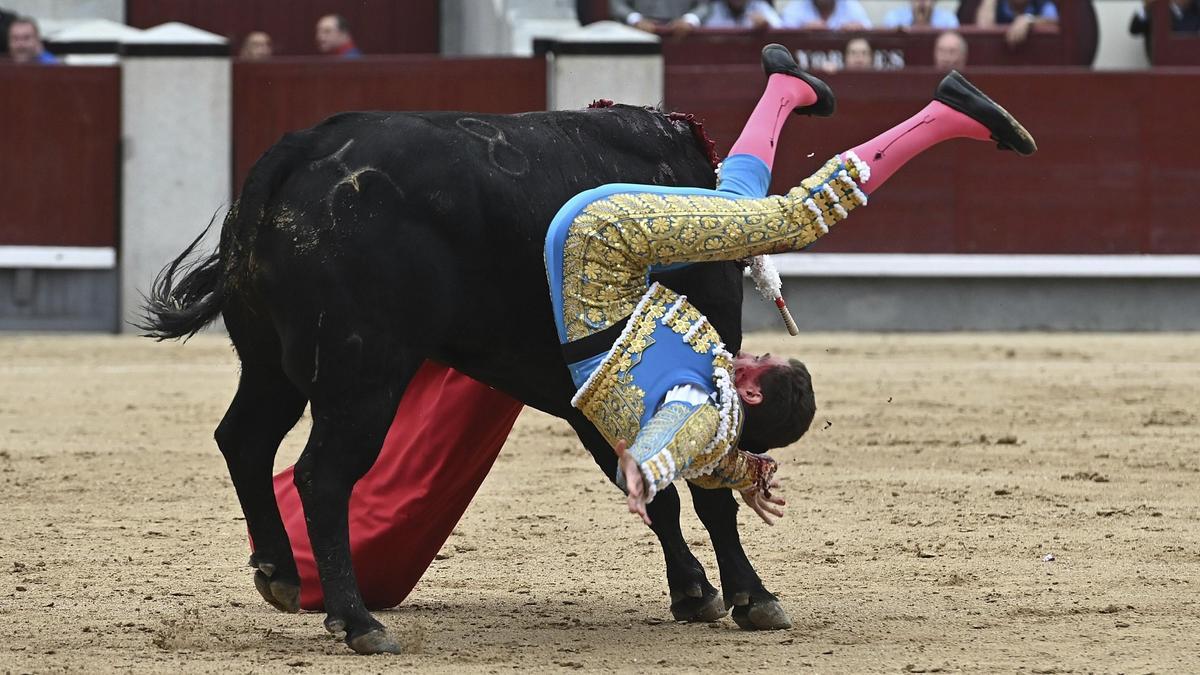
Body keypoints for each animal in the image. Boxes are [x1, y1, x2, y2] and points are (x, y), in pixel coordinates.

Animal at [142, 105, 787, 653]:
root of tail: (302, 149)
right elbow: (706, 492)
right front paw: (752, 597)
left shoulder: (589, 396)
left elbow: (655, 489)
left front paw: (694, 592)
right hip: (363, 378)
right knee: (320, 476)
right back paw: (357, 621)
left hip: (269, 364)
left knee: (245, 440)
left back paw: (278, 572)